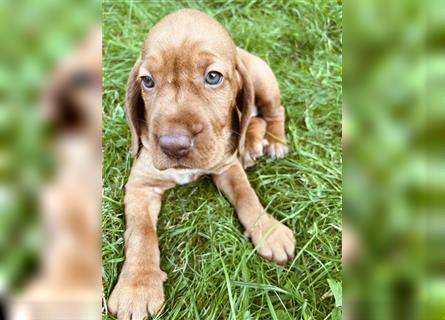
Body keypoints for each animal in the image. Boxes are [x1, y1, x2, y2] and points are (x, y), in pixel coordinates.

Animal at [108, 8, 294, 318]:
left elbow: (247, 196)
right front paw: (137, 286)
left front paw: (269, 232)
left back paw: (274, 141)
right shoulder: (140, 186)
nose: (173, 145)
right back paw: (251, 144)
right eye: (148, 81)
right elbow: (141, 233)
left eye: (213, 76)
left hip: (263, 80)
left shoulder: (227, 167)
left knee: (272, 111)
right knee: (251, 118)